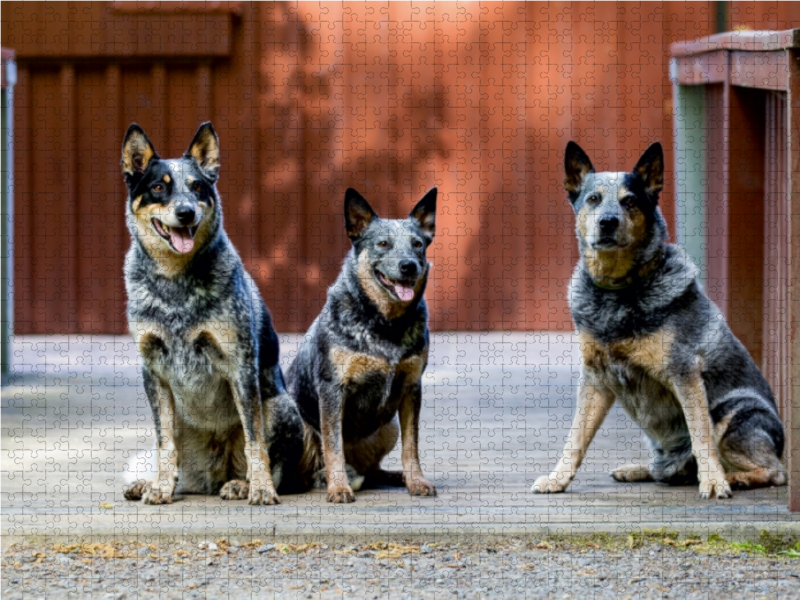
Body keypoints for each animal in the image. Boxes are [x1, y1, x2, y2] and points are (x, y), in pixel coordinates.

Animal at [120, 123, 304, 506]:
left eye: (197, 187)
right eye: (158, 186)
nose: (186, 212)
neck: (174, 283)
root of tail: (215, 471)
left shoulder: (239, 364)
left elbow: (255, 442)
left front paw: (260, 488)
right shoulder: (153, 371)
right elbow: (164, 444)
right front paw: (159, 487)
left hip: (280, 407)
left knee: (270, 462)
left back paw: (242, 484)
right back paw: (149, 483)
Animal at [536, 143, 784, 500]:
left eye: (630, 201)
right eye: (593, 198)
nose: (608, 222)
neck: (619, 289)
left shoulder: (684, 373)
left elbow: (701, 435)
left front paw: (714, 482)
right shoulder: (596, 377)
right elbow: (576, 437)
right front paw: (557, 478)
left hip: (735, 411)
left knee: (775, 471)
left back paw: (733, 477)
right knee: (663, 469)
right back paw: (638, 469)